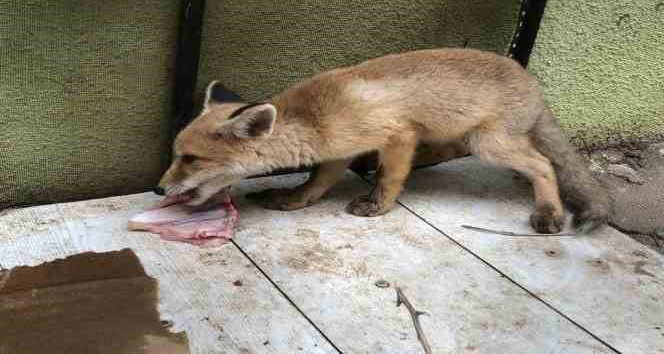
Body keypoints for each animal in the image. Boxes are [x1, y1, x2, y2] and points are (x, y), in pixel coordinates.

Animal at [156, 47, 608, 235]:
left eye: (191, 159)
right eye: (177, 155)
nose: (160, 189)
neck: (316, 117)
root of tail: (533, 82)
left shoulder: (398, 133)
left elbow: (390, 177)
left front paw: (377, 206)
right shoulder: (338, 151)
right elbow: (316, 185)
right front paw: (293, 200)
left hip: (490, 143)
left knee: (544, 165)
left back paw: (549, 211)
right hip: (465, 136)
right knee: (456, 151)